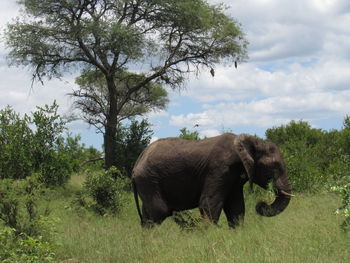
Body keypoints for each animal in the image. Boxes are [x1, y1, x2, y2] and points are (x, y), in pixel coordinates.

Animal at [131, 134, 292, 229]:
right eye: (274, 166)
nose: (261, 204)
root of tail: (137, 161)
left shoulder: (234, 176)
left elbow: (236, 207)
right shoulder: (219, 169)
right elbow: (209, 203)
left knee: (147, 215)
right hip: (148, 179)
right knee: (158, 211)